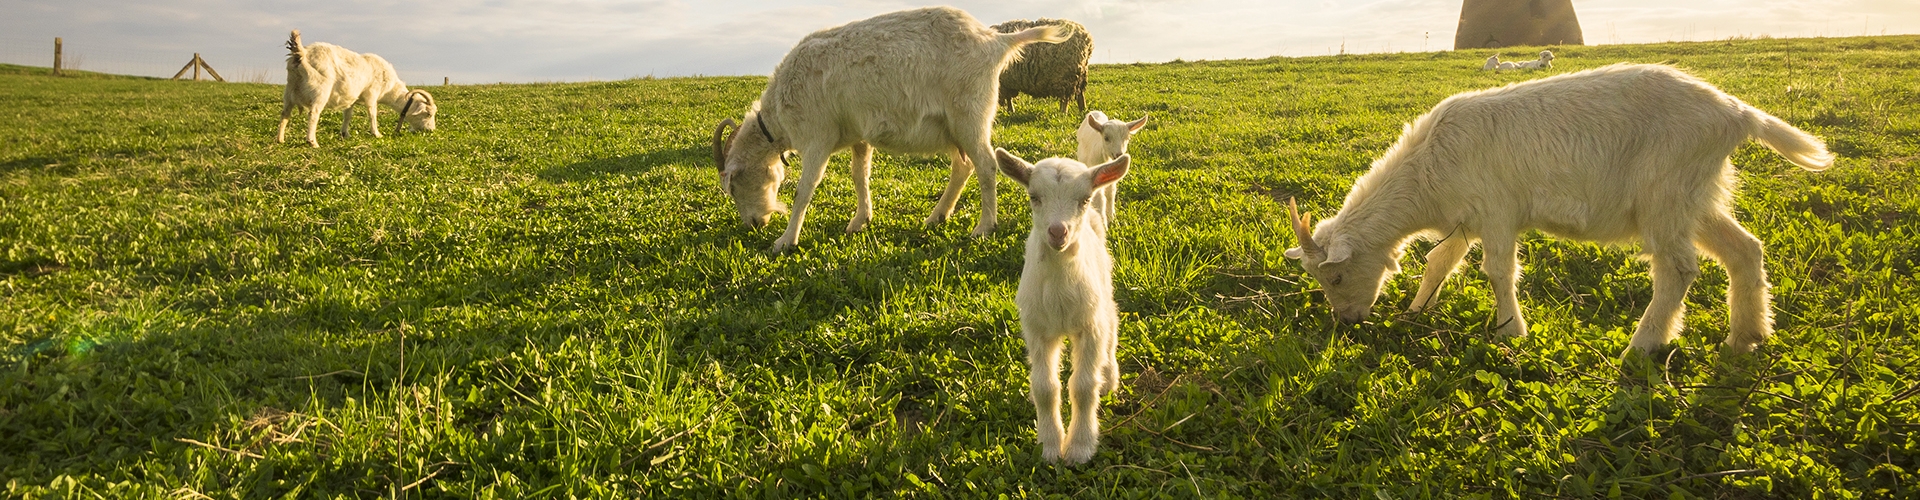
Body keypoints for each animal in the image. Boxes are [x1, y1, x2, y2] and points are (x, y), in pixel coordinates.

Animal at [278, 30, 436, 147]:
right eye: (428, 114)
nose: (431, 131)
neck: (389, 89)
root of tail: (302, 55)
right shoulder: (372, 94)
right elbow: (372, 113)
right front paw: (376, 134)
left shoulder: (352, 98)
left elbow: (348, 115)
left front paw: (345, 134)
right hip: (320, 91)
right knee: (313, 114)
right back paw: (312, 142)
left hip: (290, 90)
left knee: (285, 113)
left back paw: (280, 139)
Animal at [711, 7, 1068, 252]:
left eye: (734, 186)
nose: (754, 224)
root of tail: (995, 41)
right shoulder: (857, 135)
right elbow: (860, 174)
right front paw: (860, 220)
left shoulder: (818, 136)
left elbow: (805, 188)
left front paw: (785, 240)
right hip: (950, 125)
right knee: (962, 166)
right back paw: (937, 216)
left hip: (970, 113)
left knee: (986, 165)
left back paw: (984, 226)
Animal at [996, 148, 1129, 465]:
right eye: (1034, 196)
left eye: (1083, 199)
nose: (1058, 232)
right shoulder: (1037, 329)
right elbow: (1045, 388)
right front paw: (1049, 446)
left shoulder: (1089, 326)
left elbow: (1083, 386)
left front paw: (1080, 447)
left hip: (1103, 290)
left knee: (1112, 323)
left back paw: (1109, 377)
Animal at [1284, 64, 1833, 354]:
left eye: (1335, 276)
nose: (1348, 320)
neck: (1427, 167)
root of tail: (1739, 114)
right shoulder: (1468, 219)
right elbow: (1439, 260)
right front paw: (1418, 308)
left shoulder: (1498, 210)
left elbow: (1498, 271)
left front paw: (1510, 332)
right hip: (1696, 196)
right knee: (1745, 250)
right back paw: (1746, 337)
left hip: (1666, 191)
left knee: (1677, 268)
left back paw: (1642, 345)